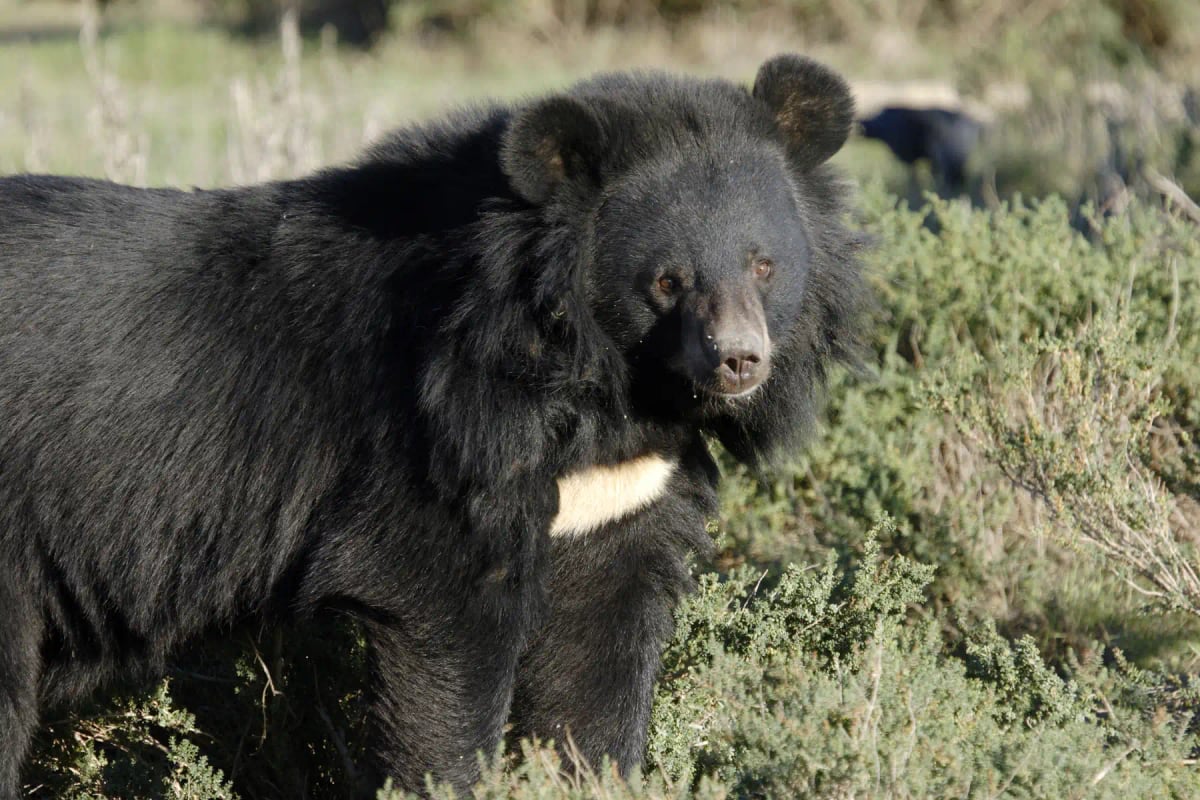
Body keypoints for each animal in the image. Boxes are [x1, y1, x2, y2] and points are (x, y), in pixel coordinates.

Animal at [0, 54, 865, 798]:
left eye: (763, 265)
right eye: (666, 281)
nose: (739, 361)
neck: (600, 382)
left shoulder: (623, 490)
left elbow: (599, 656)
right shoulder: (435, 439)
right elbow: (444, 630)